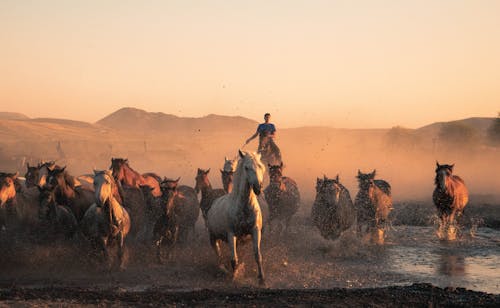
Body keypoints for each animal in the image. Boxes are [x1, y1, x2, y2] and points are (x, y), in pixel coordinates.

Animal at [207, 150, 268, 286]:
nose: (258, 188)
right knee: (218, 253)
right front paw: (234, 277)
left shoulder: (255, 231)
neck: (244, 207)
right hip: (213, 237)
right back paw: (222, 269)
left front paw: (262, 279)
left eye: (261, 166)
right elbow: (234, 259)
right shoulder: (231, 234)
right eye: (246, 168)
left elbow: (258, 255)